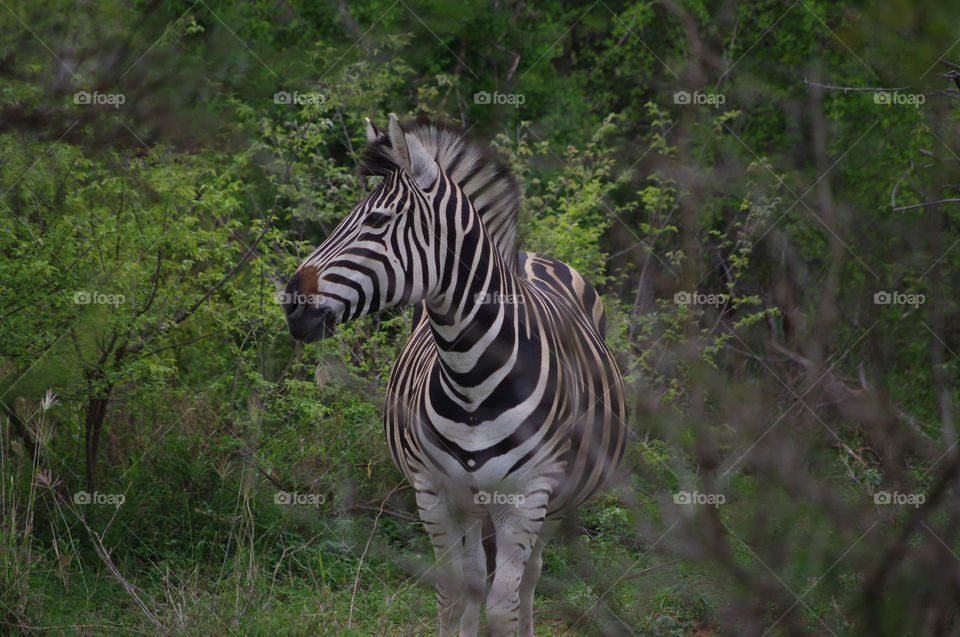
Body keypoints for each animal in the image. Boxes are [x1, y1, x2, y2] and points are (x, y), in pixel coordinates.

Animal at [284, 115, 632, 636]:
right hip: (472, 506)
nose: (290, 302)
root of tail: (530, 254)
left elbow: (504, 606)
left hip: (556, 497)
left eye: (376, 221)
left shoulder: (527, 498)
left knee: (529, 578)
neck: (471, 378)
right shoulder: (434, 494)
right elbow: (452, 596)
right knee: (473, 580)